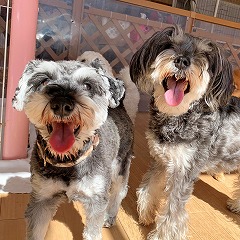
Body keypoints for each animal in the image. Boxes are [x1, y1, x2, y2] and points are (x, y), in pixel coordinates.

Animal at [12, 58, 134, 240]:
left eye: (87, 85)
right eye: (44, 81)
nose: (62, 104)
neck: (68, 161)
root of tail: (120, 106)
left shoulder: (96, 200)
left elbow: (92, 232)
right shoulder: (42, 198)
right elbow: (36, 231)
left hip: (120, 164)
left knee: (120, 191)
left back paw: (110, 216)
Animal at [130, 25, 240, 239]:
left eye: (203, 55)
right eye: (169, 45)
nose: (182, 60)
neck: (179, 115)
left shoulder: (184, 170)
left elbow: (172, 215)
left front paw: (160, 236)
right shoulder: (162, 160)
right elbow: (148, 188)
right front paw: (146, 214)